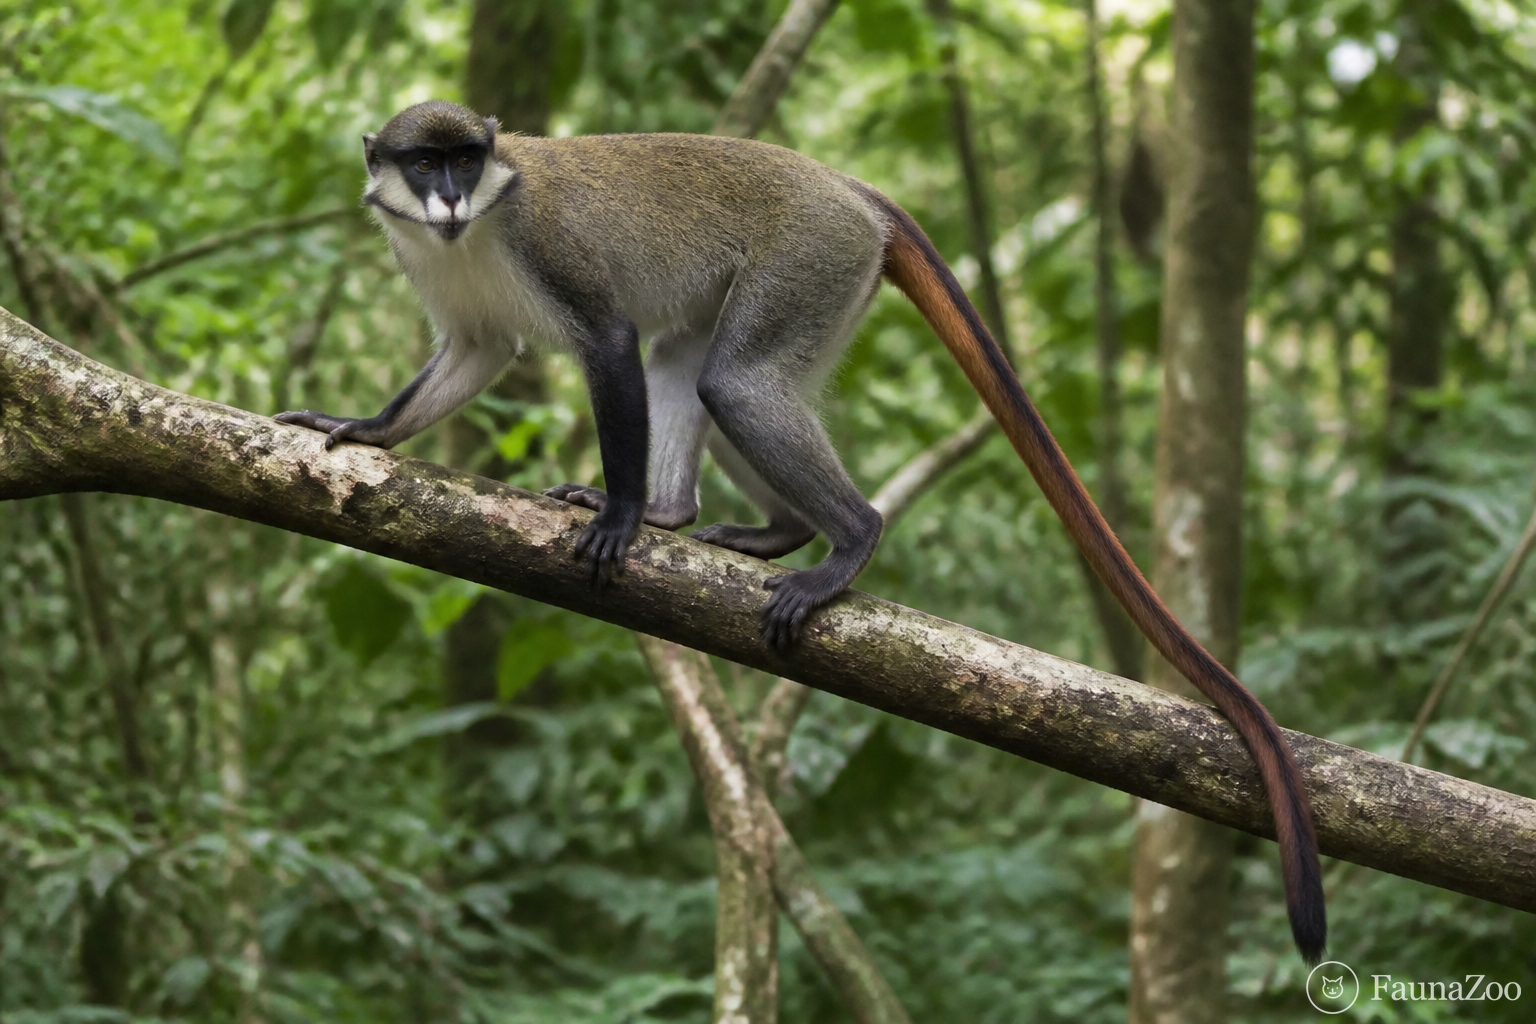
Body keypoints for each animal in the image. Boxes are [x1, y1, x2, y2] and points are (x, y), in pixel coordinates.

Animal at [275, 101, 1325, 962]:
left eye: (466, 158)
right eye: (425, 163)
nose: (451, 197)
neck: (473, 234)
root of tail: (845, 187)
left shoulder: (547, 246)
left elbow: (611, 344)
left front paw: (618, 521)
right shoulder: (438, 269)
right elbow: (478, 350)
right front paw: (361, 429)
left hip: (812, 259)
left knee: (734, 381)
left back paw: (837, 541)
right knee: (692, 360)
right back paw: (708, 521)